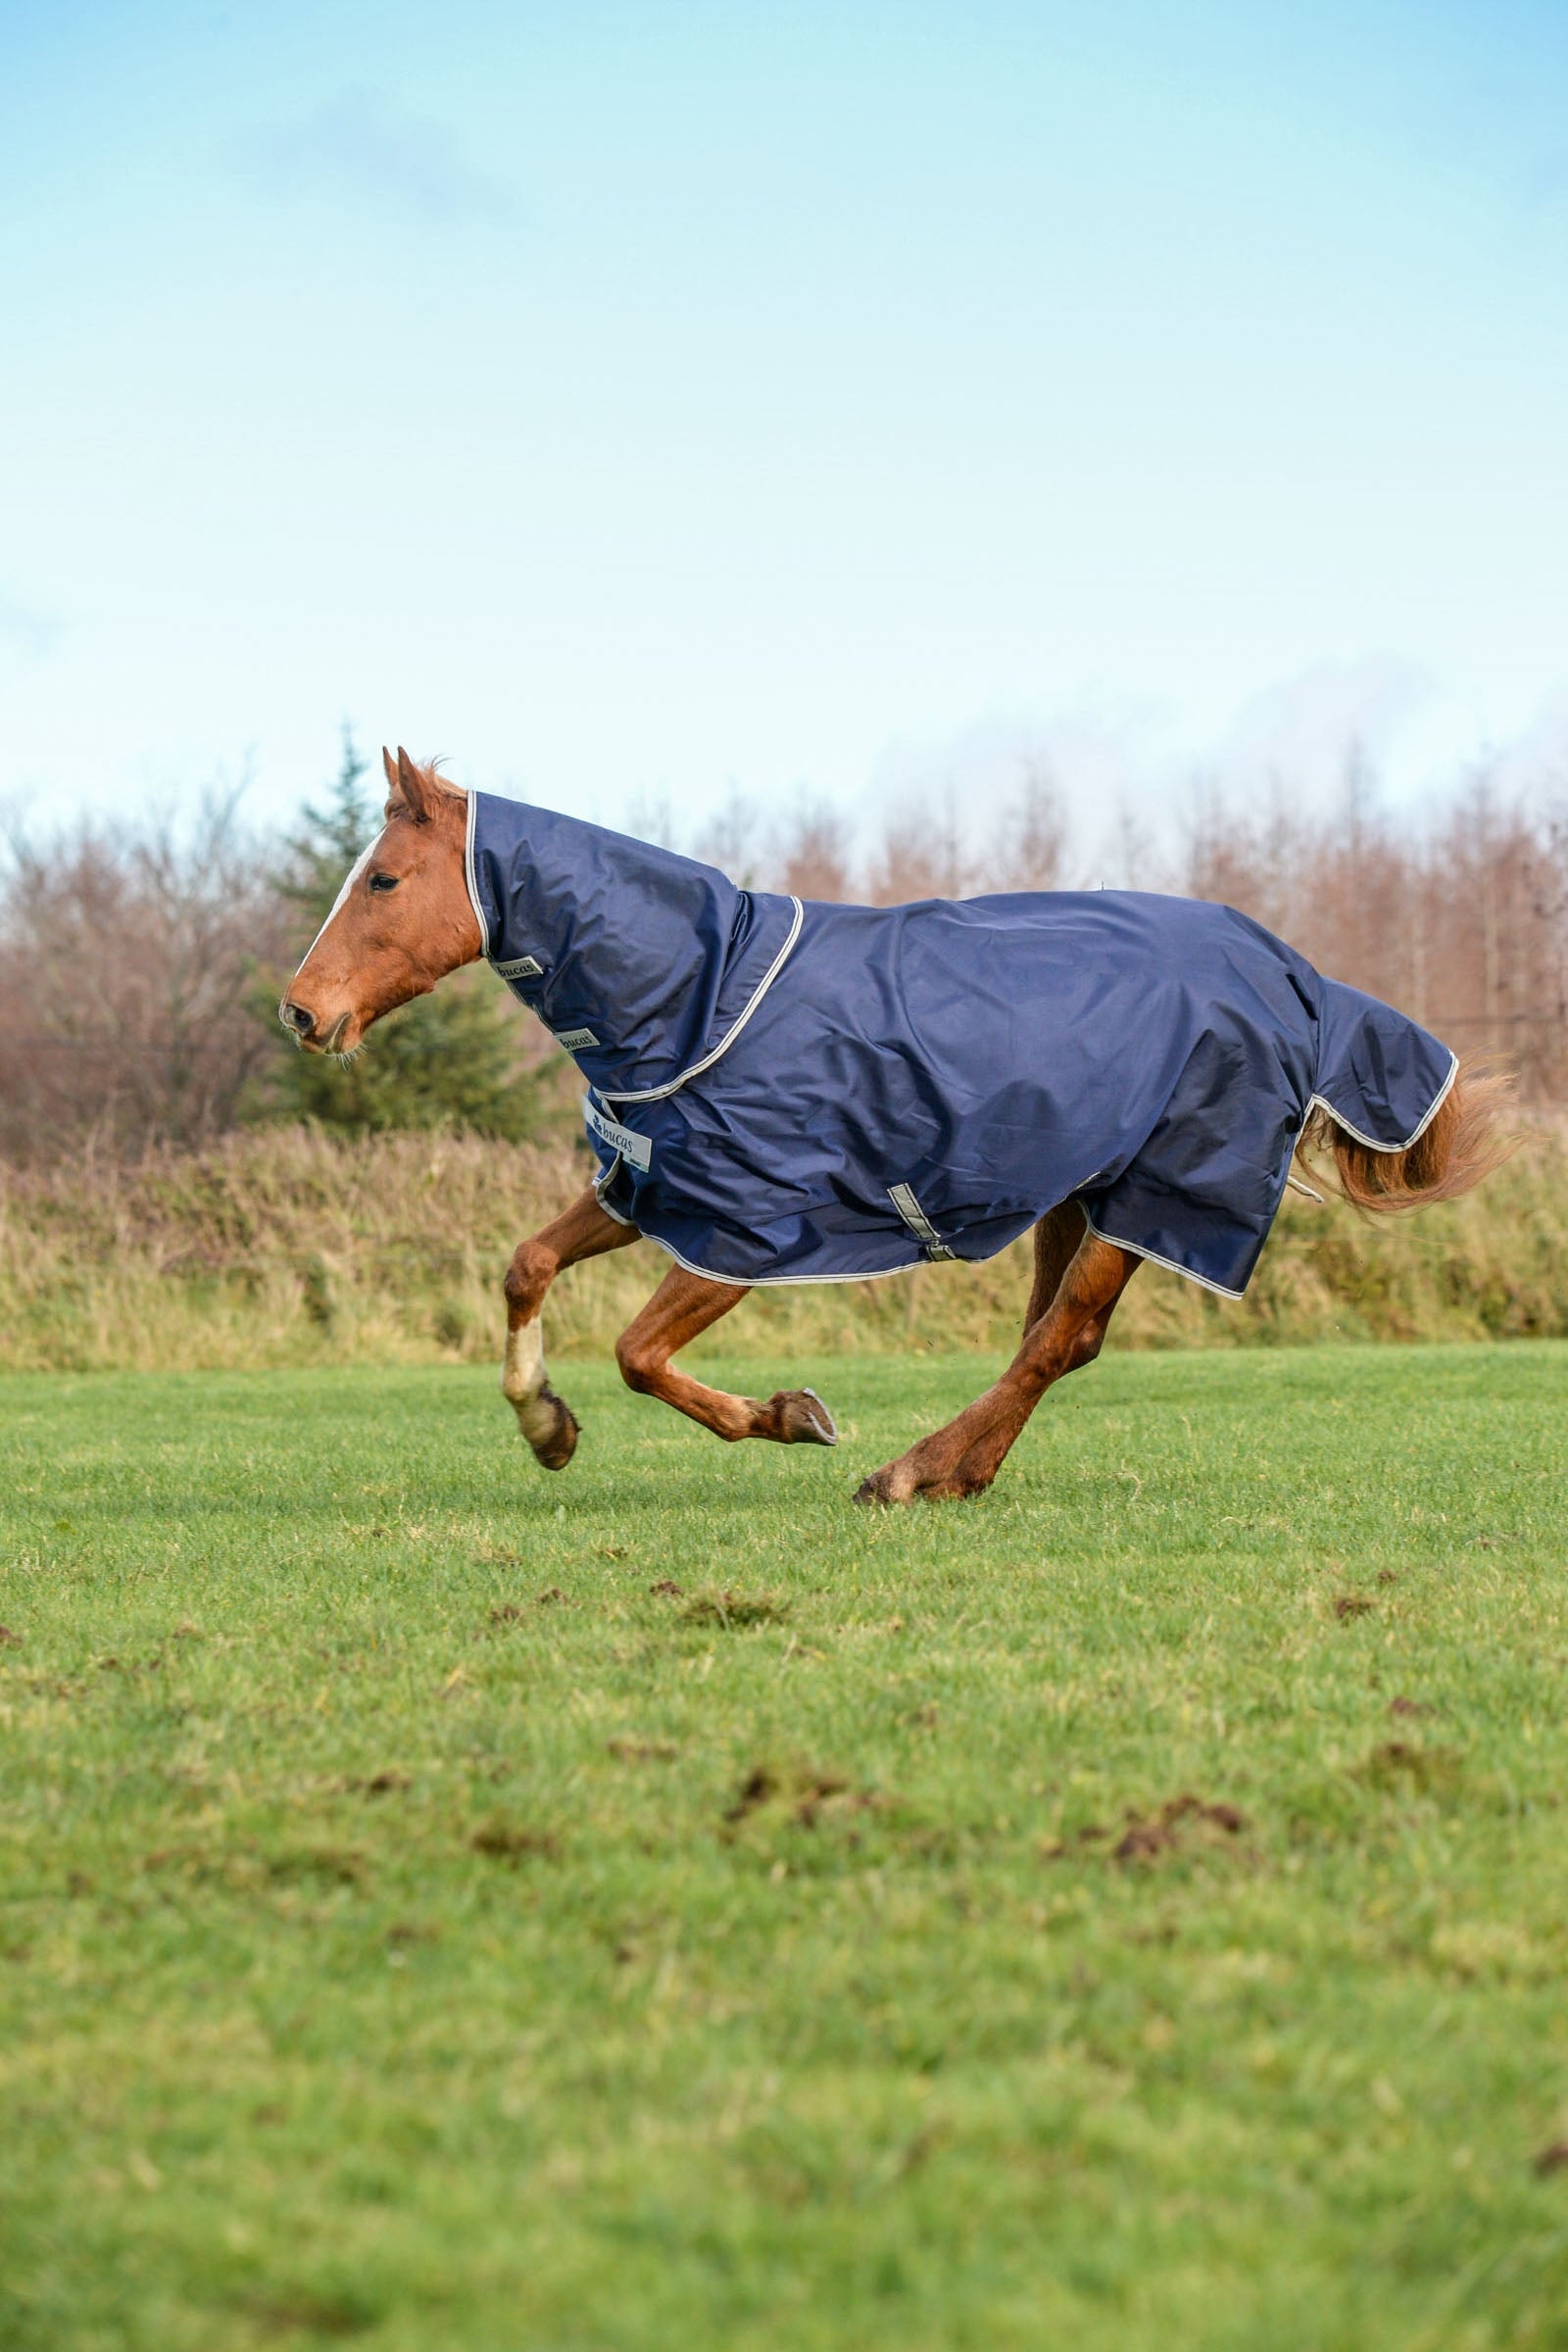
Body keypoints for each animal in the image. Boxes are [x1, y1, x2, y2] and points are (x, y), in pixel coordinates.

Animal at [280, 748, 1513, 1505]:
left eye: (382, 879)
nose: (301, 1011)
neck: (702, 993)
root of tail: (1292, 973)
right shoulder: (652, 1186)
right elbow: (525, 1266)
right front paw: (547, 1428)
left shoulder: (745, 1230)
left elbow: (637, 1354)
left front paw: (790, 1416)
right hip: (1078, 1192)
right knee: (1054, 1340)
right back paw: (958, 1469)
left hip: (1161, 1194)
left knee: (1058, 1339)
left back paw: (910, 1474)